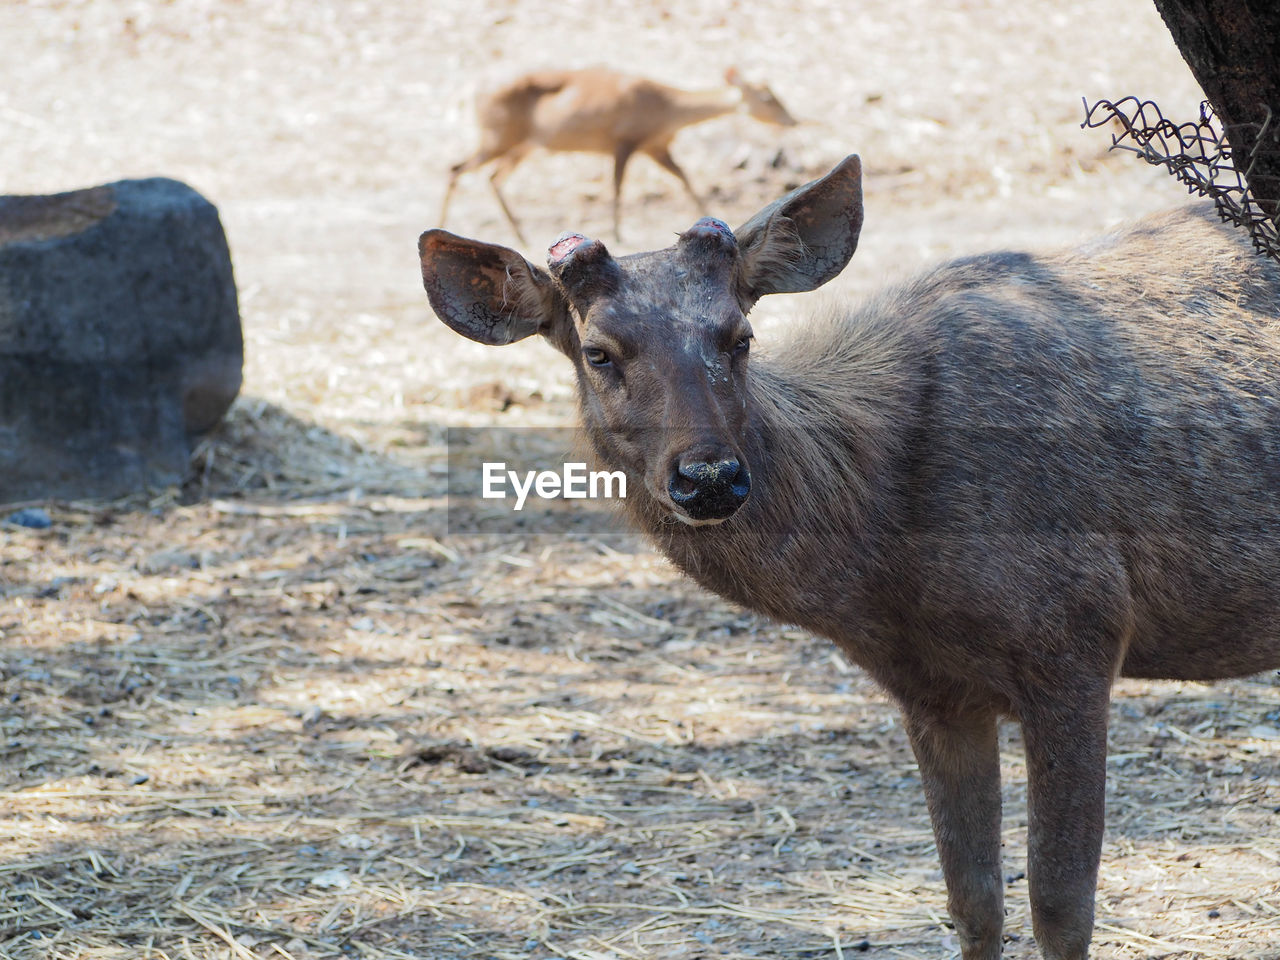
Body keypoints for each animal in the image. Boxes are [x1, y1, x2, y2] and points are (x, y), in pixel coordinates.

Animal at [417, 154, 1280, 957]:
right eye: (599, 351)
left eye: (742, 336)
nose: (710, 476)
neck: (886, 566)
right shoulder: (932, 691)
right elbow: (973, 903)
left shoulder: (1078, 632)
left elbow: (1061, 909)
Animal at [445, 64, 793, 244]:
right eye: (767, 97)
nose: (792, 119)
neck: (667, 111)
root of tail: (472, 92)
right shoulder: (625, 140)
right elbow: (617, 187)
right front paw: (616, 233)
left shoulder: (655, 145)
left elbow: (683, 177)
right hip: (498, 137)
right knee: (456, 168)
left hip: (522, 145)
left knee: (490, 176)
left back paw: (519, 235)